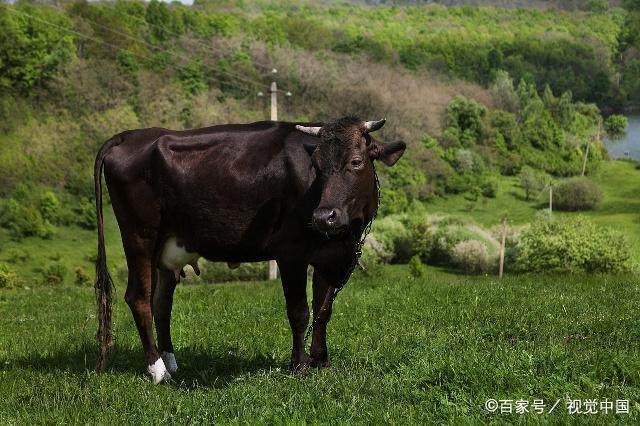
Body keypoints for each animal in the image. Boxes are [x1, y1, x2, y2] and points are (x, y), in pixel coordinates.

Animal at [92, 115, 404, 382]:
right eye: (316, 165)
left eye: (356, 161)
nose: (323, 216)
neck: (345, 235)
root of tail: (131, 135)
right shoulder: (291, 253)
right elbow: (300, 311)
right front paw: (300, 365)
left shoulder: (331, 258)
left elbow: (323, 311)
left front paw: (322, 362)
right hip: (140, 236)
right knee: (138, 297)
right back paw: (158, 370)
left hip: (166, 249)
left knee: (161, 303)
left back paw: (171, 362)